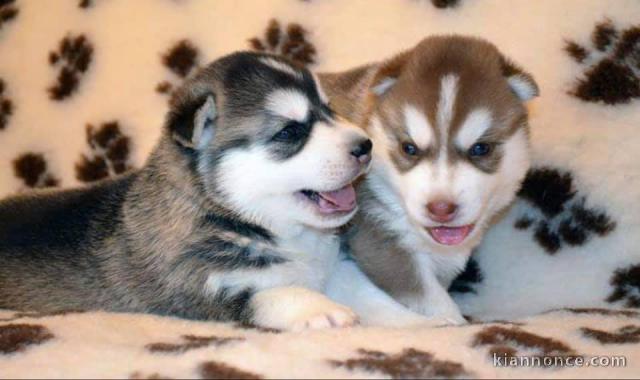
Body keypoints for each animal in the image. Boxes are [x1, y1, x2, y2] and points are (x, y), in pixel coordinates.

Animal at [0, 52, 372, 332]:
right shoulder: (198, 293)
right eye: (289, 131)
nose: (365, 145)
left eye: (330, 110)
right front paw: (319, 309)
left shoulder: (334, 267)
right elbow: (270, 294)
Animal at [322, 37, 536, 326]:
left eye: (480, 149)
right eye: (409, 148)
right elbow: (430, 298)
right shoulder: (381, 241)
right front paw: (452, 321)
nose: (441, 208)